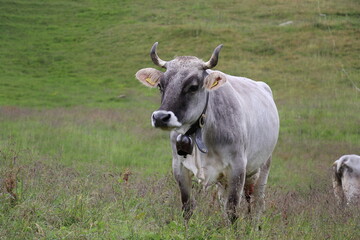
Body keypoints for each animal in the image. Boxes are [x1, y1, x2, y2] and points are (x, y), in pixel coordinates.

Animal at [135, 42, 278, 223]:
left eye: (193, 87)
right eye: (161, 85)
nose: (160, 117)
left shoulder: (238, 168)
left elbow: (232, 210)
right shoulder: (179, 168)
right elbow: (188, 208)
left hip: (263, 167)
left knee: (257, 204)